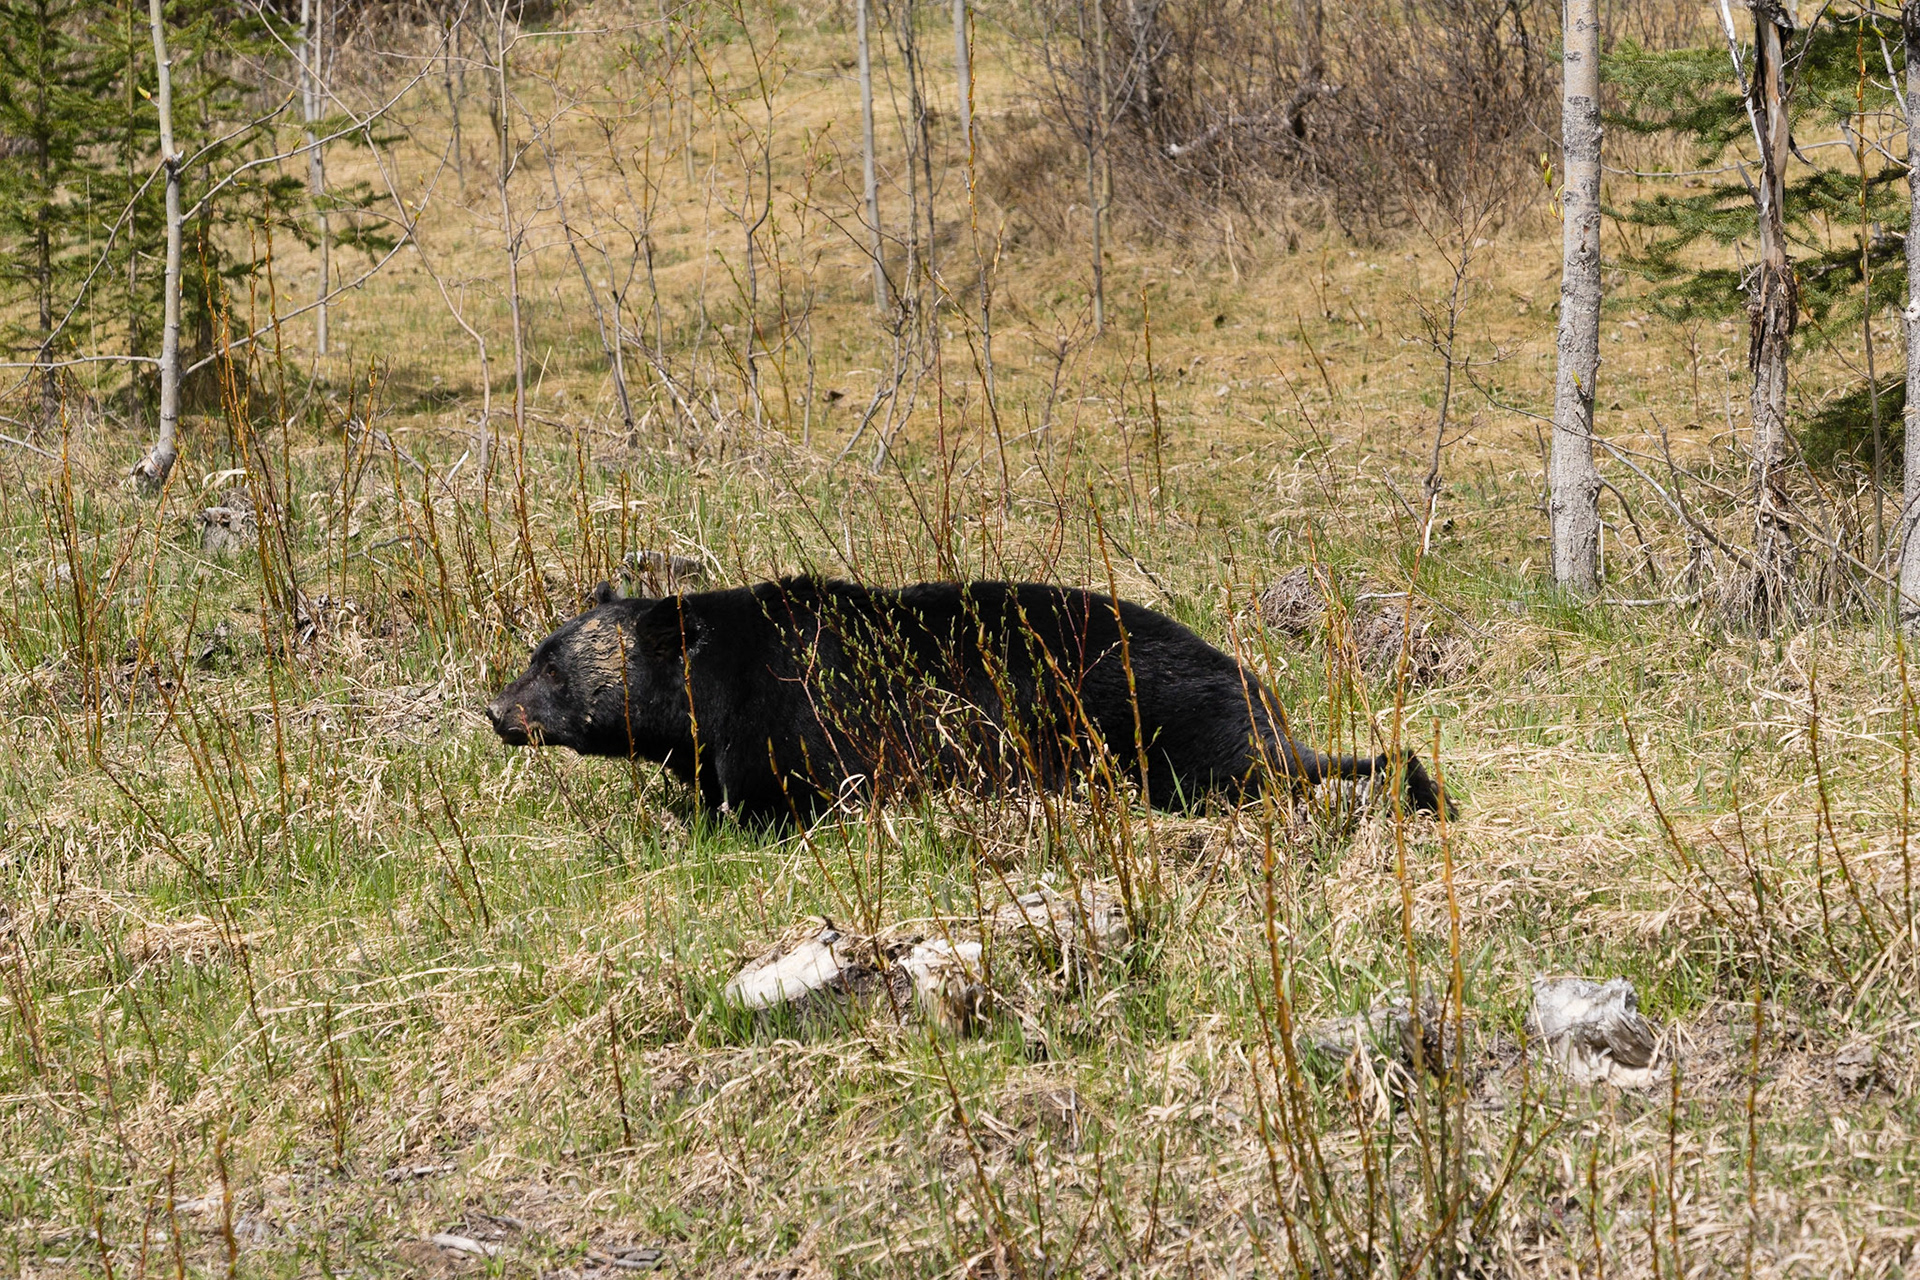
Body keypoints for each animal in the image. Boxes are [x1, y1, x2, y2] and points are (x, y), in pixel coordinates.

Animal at [486, 577, 1450, 826]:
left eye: (550, 665)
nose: (497, 710)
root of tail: (1261, 688)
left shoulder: (803, 719)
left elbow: (786, 795)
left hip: (1153, 718)